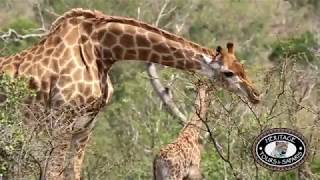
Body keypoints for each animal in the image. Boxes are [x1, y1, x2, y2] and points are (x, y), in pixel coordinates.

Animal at [0, 8, 260, 179]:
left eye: (242, 67)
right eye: (228, 73)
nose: (256, 95)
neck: (102, 51)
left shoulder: (85, 127)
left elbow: (73, 173)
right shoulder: (61, 123)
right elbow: (53, 174)